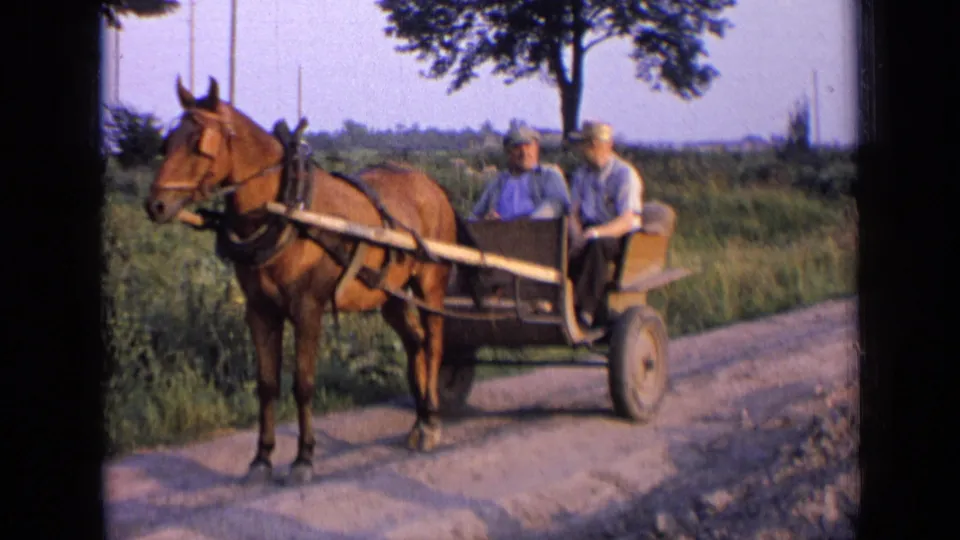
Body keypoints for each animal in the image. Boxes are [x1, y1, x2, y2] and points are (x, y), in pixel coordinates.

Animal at [144, 76, 484, 485]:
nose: (155, 205)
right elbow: (267, 385)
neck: (287, 209)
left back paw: (431, 421)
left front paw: (304, 457)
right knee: (414, 344)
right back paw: (419, 419)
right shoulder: (260, 311)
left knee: (433, 345)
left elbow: (303, 384)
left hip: (430, 285)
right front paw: (262, 458)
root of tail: (433, 186)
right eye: (167, 142)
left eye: (200, 143)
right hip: (390, 296)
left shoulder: (308, 309)